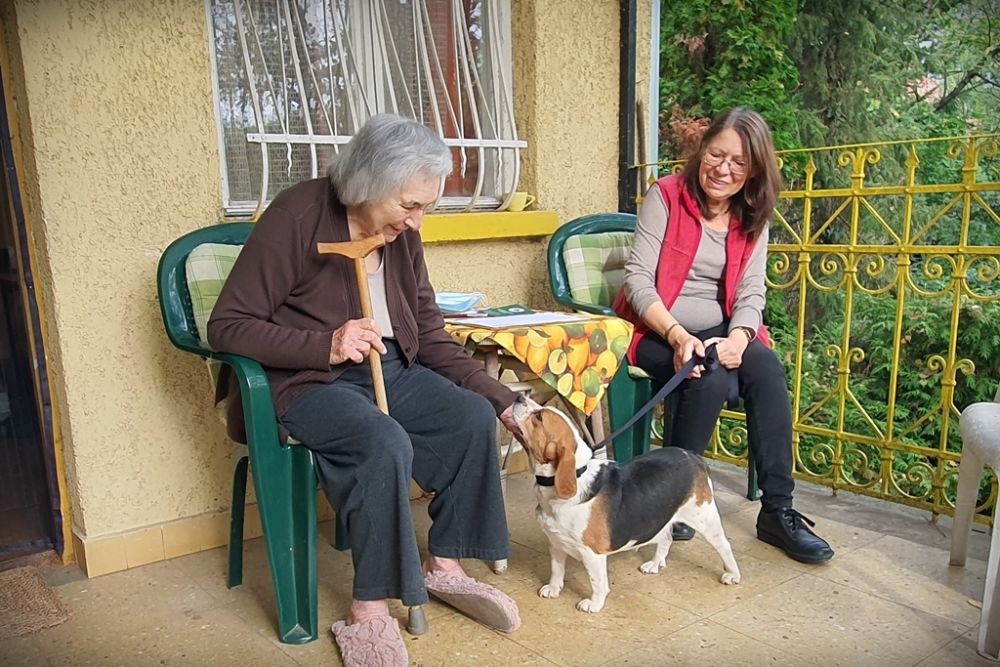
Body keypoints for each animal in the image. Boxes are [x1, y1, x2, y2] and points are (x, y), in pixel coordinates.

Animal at [510, 394, 741, 613]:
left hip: (704, 518)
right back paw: (655, 564)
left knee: (725, 546)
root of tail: (692, 456)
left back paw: (732, 574)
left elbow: (598, 582)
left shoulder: (592, 554)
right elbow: (557, 571)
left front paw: (594, 604)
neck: (577, 473)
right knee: (666, 538)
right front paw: (554, 589)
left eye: (539, 417)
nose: (519, 397)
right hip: (662, 518)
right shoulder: (557, 544)